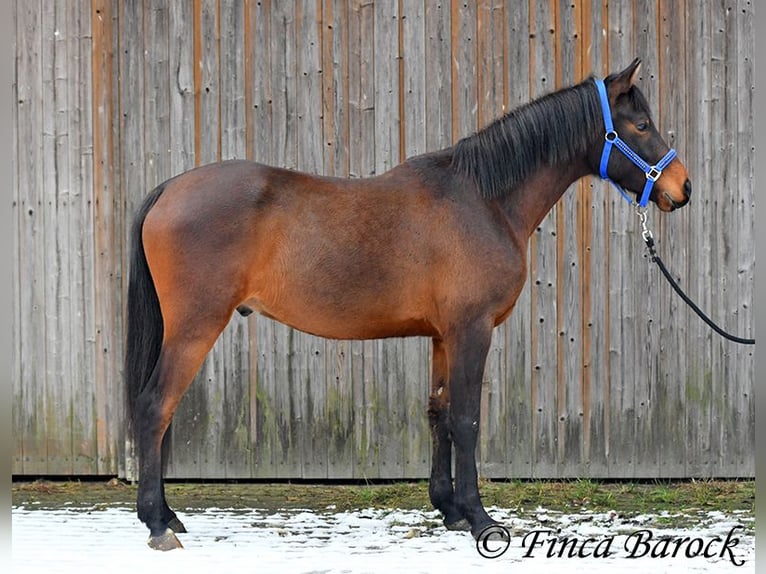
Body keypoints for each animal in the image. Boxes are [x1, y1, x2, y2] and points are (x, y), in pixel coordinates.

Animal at [124, 59, 688, 552]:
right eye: (640, 125)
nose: (681, 187)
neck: (483, 200)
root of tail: (170, 189)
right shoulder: (471, 329)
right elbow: (467, 420)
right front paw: (480, 519)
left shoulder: (442, 335)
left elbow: (439, 413)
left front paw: (450, 510)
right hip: (196, 326)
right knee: (155, 408)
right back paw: (159, 523)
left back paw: (168, 515)